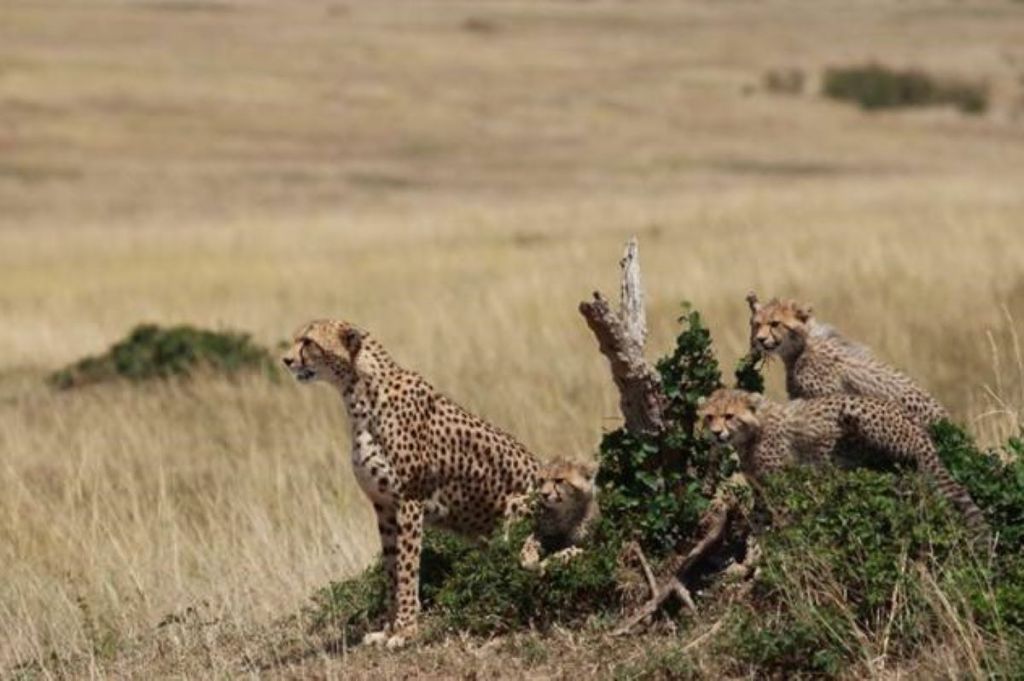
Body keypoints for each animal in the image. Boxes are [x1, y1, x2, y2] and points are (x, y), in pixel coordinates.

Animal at [282, 319, 540, 648]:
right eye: (296, 339)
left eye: (308, 342)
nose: (286, 360)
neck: (358, 394)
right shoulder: (384, 507)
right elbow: (392, 569)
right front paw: (388, 628)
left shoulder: (409, 501)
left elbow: (407, 569)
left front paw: (405, 631)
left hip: (518, 509)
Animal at [697, 388, 989, 542]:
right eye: (709, 417)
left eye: (729, 416)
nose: (716, 433)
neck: (752, 432)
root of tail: (918, 427)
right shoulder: (760, 487)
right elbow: (759, 515)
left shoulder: (781, 481)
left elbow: (782, 514)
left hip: (855, 409)